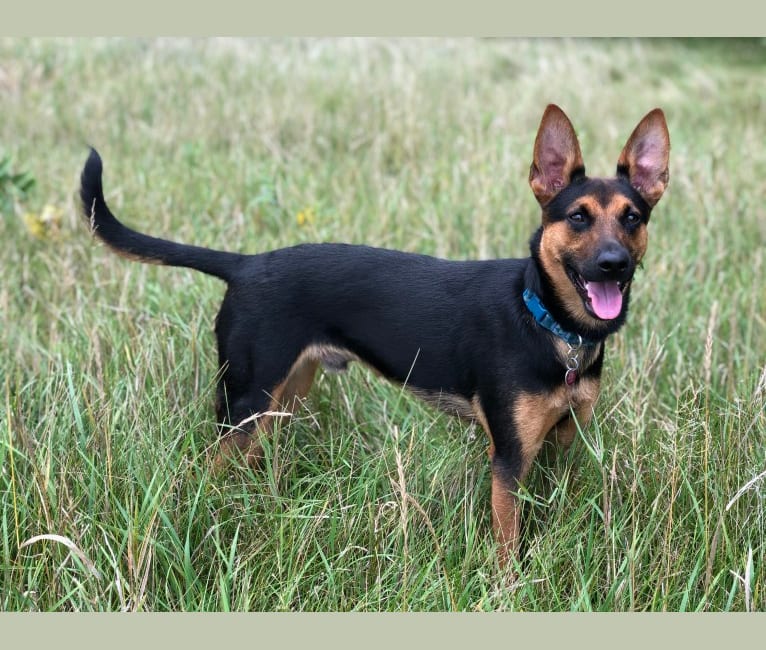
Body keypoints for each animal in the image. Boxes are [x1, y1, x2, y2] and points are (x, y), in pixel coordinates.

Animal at [81, 104, 672, 564]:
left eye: (634, 217)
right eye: (578, 217)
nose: (614, 264)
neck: (548, 323)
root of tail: (246, 265)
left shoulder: (564, 442)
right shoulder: (508, 458)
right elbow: (508, 545)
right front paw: (511, 588)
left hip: (281, 396)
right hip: (244, 399)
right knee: (207, 467)